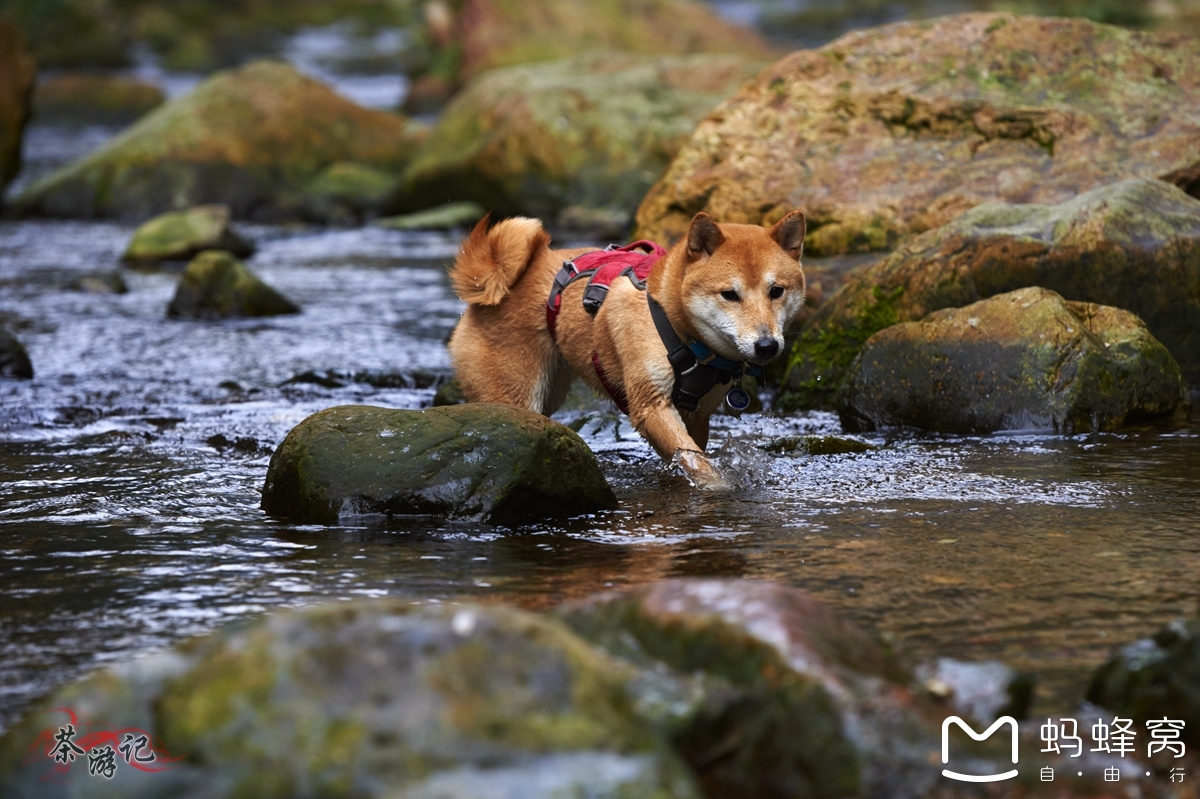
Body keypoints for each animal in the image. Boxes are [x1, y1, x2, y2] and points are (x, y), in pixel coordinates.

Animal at [444, 211, 806, 484]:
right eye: (729, 294)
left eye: (776, 291)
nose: (766, 345)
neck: (677, 328)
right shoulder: (650, 406)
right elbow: (697, 462)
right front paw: (720, 487)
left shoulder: (697, 415)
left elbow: (691, 453)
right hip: (516, 396)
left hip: (551, 392)